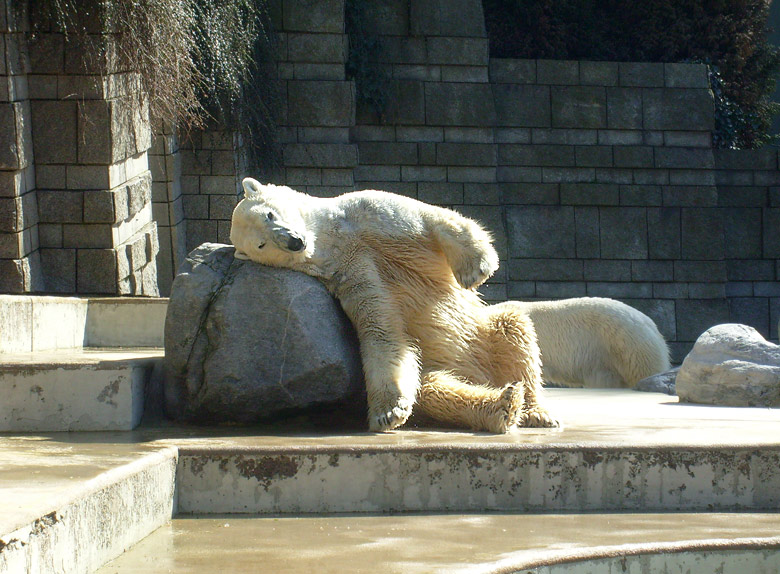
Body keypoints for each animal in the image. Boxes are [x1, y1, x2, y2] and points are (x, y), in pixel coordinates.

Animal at [229, 178, 556, 434]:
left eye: (270, 214)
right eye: (260, 244)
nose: (294, 242)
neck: (331, 242)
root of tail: (479, 373)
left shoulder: (362, 216)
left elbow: (429, 218)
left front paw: (477, 268)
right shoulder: (349, 273)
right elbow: (382, 329)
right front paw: (387, 413)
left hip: (484, 334)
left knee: (513, 331)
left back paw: (535, 411)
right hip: (437, 366)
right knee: (435, 389)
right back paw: (503, 404)